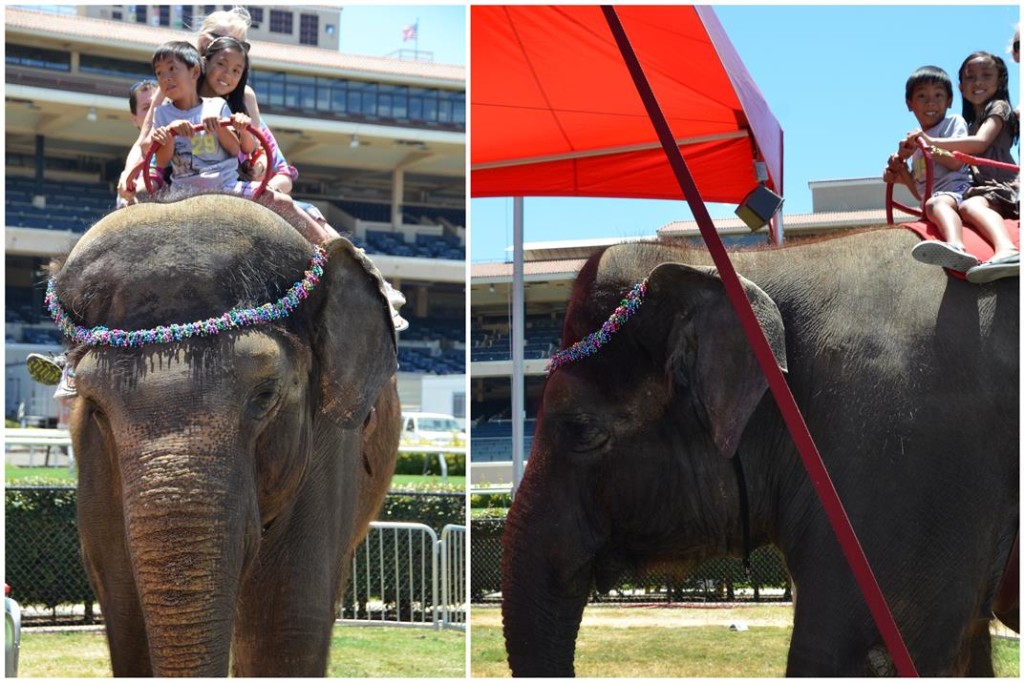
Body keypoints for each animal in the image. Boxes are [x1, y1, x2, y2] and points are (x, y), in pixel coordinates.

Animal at [50, 192, 399, 675]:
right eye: (95, 405)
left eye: (266, 394)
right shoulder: (94, 456)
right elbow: (126, 617)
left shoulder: (329, 442)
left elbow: (287, 625)